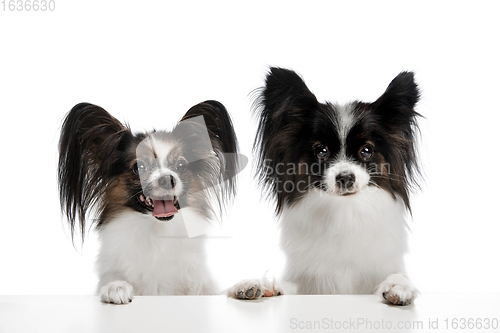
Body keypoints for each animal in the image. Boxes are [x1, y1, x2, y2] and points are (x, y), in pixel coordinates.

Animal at [57, 101, 241, 304]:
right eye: (139, 167)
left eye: (181, 165)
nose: (167, 179)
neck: (157, 233)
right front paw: (116, 287)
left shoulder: (201, 286)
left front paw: (246, 287)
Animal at [230, 68, 422, 306]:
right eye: (321, 151)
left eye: (366, 150)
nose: (345, 178)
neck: (345, 212)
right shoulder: (308, 283)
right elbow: (286, 286)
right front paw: (259, 285)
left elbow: (395, 277)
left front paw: (398, 286)